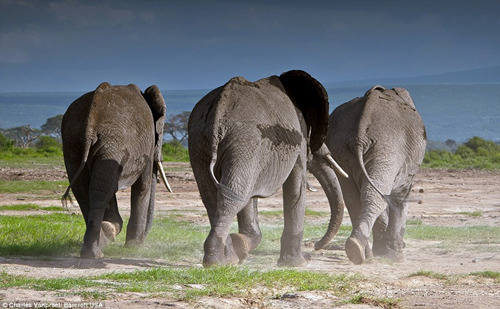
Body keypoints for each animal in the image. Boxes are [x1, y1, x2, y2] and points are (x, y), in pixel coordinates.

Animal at [60, 81, 172, 258]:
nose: (143, 240)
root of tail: (91, 119)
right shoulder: (146, 146)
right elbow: (143, 186)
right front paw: (134, 247)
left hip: (74, 142)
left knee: (88, 189)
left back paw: (97, 246)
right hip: (112, 142)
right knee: (98, 188)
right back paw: (96, 251)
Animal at [188, 70, 348, 268]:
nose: (316, 247)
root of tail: (218, 111)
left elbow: (252, 195)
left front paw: (240, 246)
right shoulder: (298, 137)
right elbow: (296, 186)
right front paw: (298, 264)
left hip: (203, 142)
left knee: (215, 195)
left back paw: (226, 259)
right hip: (244, 140)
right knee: (234, 195)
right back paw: (217, 263)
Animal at [316, 85, 426, 264]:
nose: (315, 246)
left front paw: (384, 251)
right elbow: (400, 197)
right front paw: (395, 255)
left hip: (342, 148)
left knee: (355, 198)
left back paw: (359, 252)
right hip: (387, 147)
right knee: (375, 195)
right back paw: (364, 252)